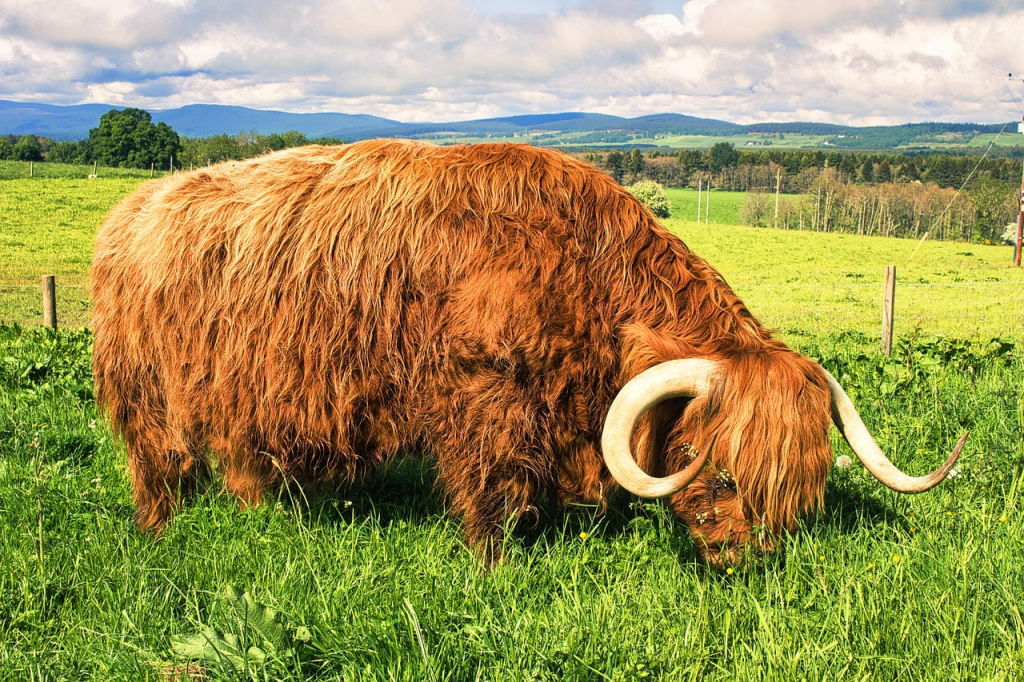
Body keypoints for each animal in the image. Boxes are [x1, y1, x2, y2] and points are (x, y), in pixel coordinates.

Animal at [91, 139, 965, 567]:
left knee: (242, 459)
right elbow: (492, 488)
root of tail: (131, 209)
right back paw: (157, 531)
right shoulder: (486, 395)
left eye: (792, 490)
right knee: (155, 461)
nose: (740, 559)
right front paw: (496, 567)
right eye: (712, 465)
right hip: (142, 389)